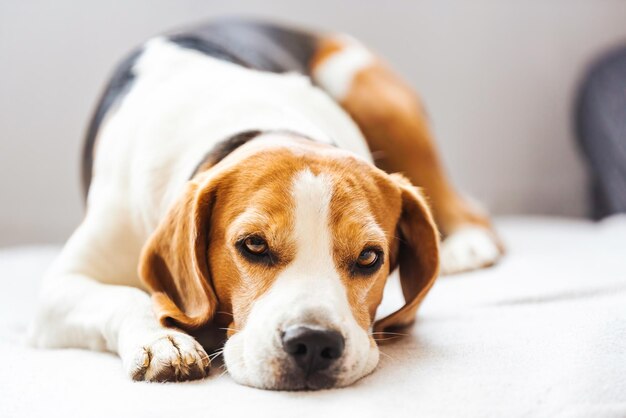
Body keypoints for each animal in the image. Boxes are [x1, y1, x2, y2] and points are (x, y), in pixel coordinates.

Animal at [30, 18, 502, 390]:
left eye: (370, 257)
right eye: (253, 245)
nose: (313, 342)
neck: (260, 122)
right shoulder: (58, 288)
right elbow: (125, 297)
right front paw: (162, 340)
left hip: (367, 93)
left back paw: (468, 243)